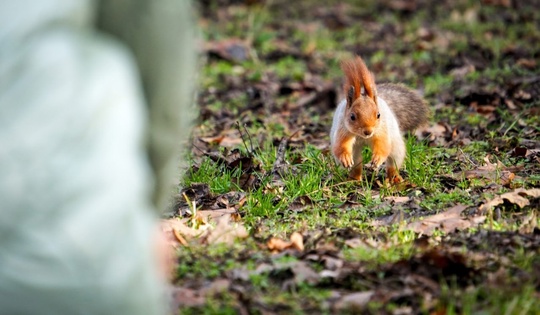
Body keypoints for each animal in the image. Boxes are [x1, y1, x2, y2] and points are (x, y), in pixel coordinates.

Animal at [330, 55, 430, 184]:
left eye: (378, 115)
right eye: (352, 117)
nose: (368, 132)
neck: (362, 137)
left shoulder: (381, 129)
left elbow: (382, 145)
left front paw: (377, 159)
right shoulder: (343, 129)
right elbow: (340, 145)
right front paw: (345, 158)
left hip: (396, 146)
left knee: (393, 161)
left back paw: (393, 177)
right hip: (355, 151)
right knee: (356, 163)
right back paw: (354, 178)